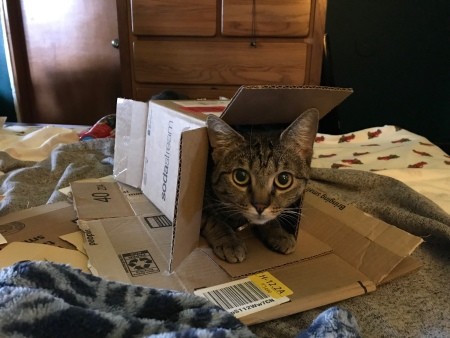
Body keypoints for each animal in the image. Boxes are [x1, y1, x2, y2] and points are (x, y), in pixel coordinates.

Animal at [202, 109, 318, 262]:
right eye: (240, 176)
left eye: (284, 179)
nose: (260, 206)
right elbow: (213, 219)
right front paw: (230, 241)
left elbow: (270, 220)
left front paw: (280, 233)